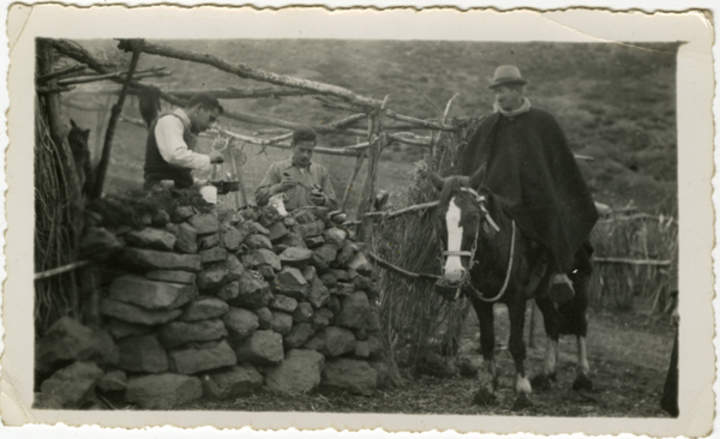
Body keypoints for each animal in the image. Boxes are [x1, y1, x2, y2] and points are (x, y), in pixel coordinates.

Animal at [428, 169, 596, 410]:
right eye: (440, 218)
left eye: (474, 217)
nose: (452, 275)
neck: (496, 249)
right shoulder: (481, 302)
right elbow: (487, 342)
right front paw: (487, 389)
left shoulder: (517, 299)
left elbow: (516, 344)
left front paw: (522, 391)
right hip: (543, 294)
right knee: (553, 323)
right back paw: (547, 374)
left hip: (580, 283)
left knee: (581, 324)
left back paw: (583, 376)